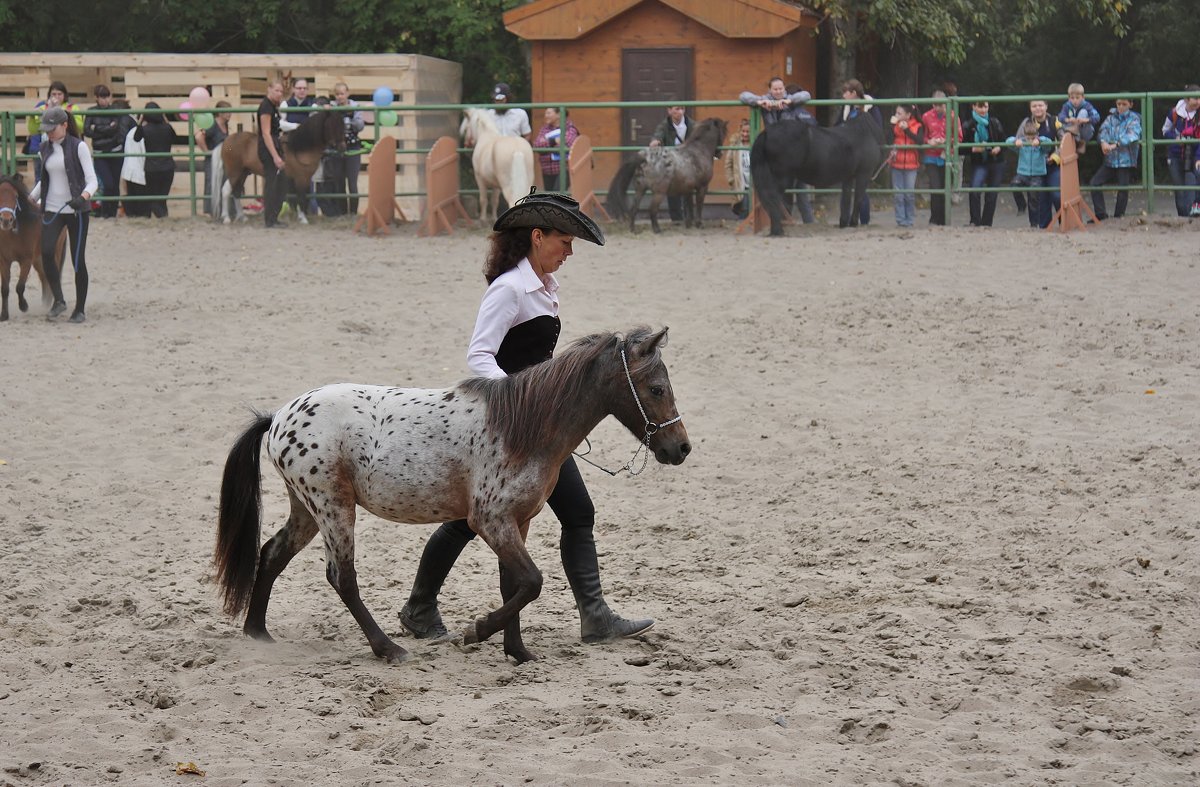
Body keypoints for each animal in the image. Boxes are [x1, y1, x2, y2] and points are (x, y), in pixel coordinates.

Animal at [0, 176, 65, 323]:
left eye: (16, 196)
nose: (6, 220)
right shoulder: (4, 261)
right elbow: (5, 289)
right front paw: (4, 315)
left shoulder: (26, 260)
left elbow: (19, 286)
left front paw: (24, 306)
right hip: (39, 259)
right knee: (44, 277)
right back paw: (45, 303)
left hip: (53, 255)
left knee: (53, 276)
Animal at [211, 326, 691, 662]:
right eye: (656, 388)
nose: (681, 448)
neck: (523, 426)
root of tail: (278, 417)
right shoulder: (490, 520)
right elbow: (532, 582)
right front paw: (475, 632)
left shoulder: (517, 521)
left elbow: (514, 584)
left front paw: (518, 653)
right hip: (333, 508)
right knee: (341, 578)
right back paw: (389, 649)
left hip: (307, 510)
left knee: (272, 553)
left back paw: (258, 633)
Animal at [216, 109, 345, 224]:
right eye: (331, 125)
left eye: (342, 125)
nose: (343, 147)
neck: (298, 149)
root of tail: (227, 140)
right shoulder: (301, 178)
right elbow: (301, 196)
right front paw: (303, 219)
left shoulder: (299, 179)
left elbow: (298, 196)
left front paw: (300, 216)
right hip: (234, 173)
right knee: (226, 191)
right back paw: (226, 218)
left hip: (243, 173)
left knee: (236, 192)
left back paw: (242, 217)